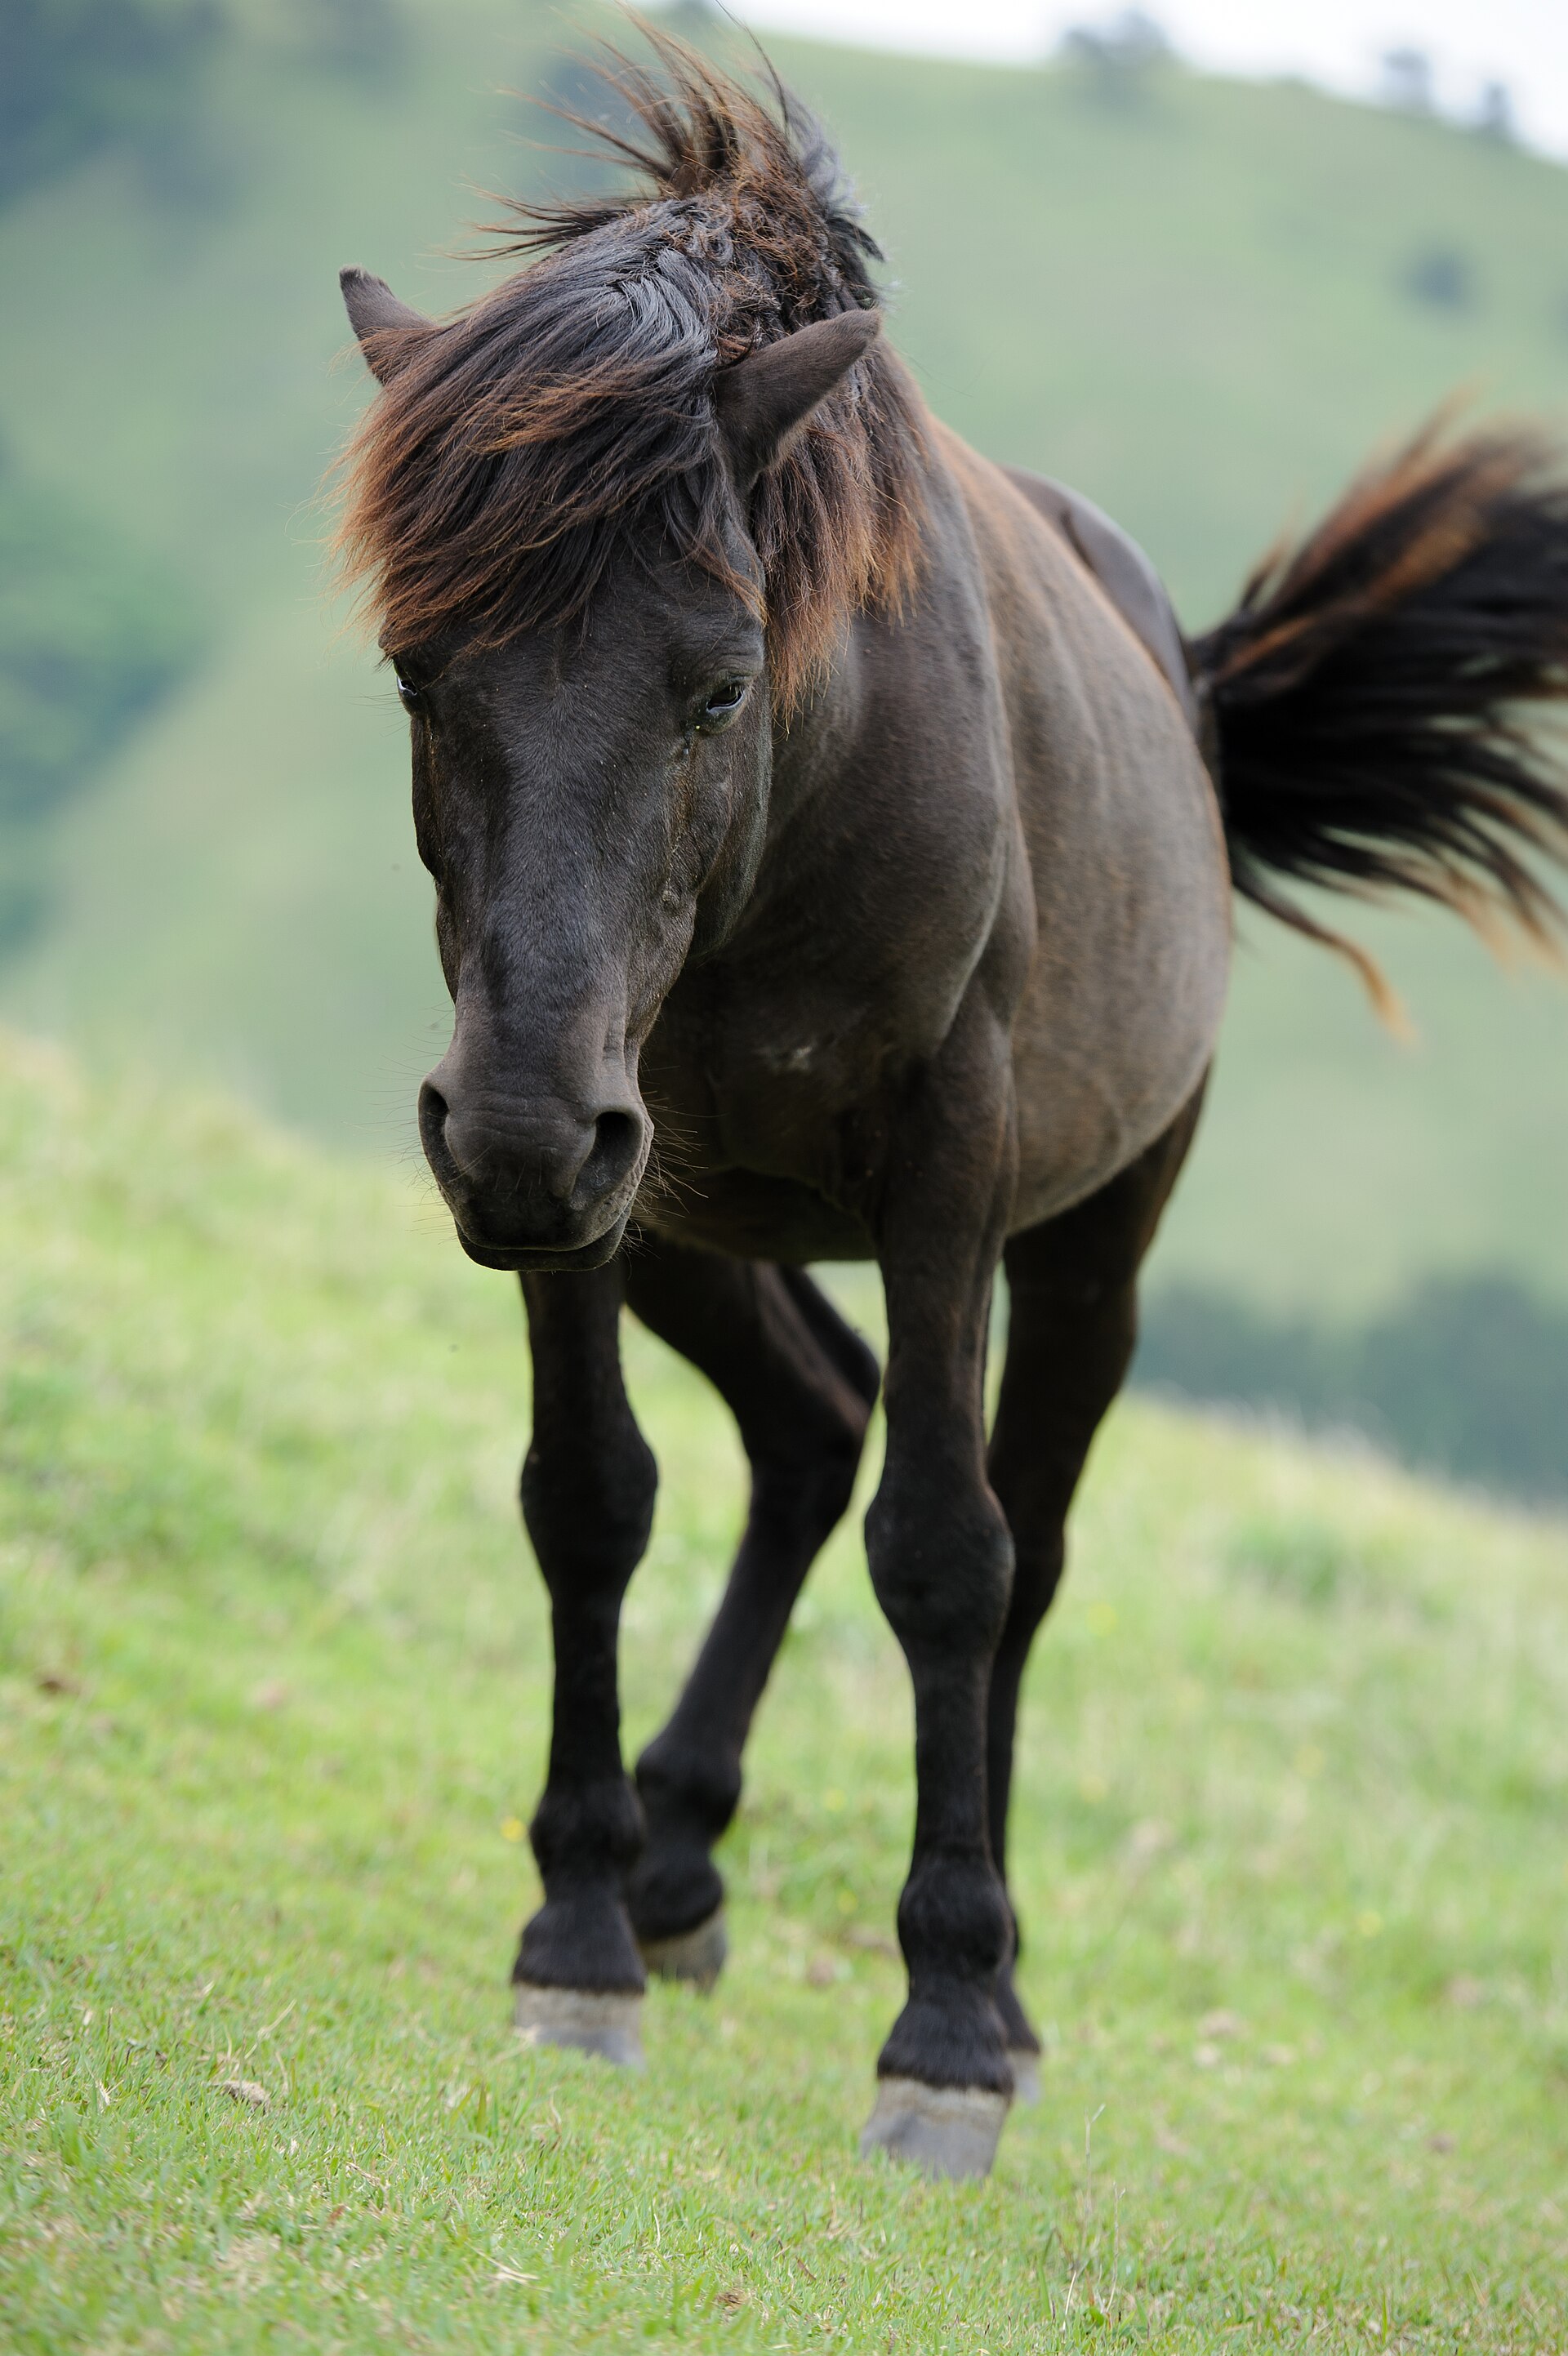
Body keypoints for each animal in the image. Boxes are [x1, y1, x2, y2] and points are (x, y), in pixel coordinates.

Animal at [335, 35, 1568, 2179]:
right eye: (421, 671)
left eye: (716, 680)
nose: (518, 1132)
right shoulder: (568, 1165)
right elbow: (588, 1497)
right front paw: (576, 1928)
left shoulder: (941, 1183)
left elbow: (947, 1555)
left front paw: (947, 2033)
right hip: (669, 1212)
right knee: (808, 1425)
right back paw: (675, 1873)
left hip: (1078, 1254)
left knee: (1016, 1540)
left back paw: (993, 1988)